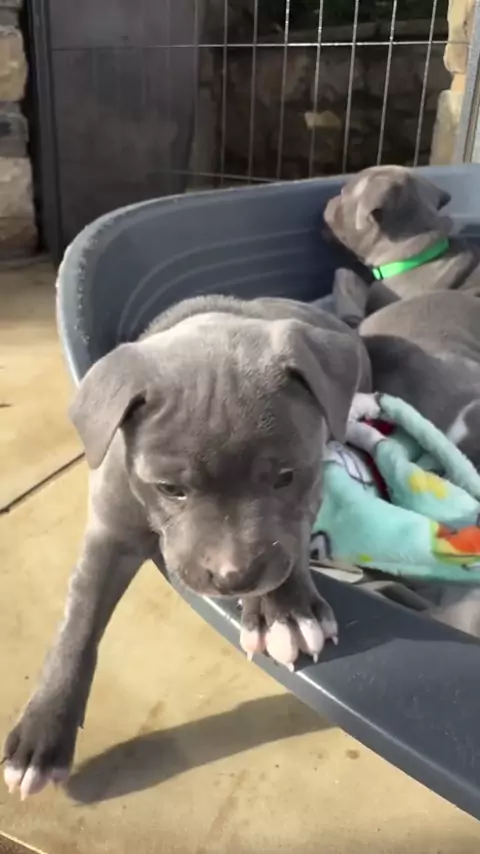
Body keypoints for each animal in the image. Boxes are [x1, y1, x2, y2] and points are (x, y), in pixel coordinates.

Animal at [3, 293, 371, 800]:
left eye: (284, 477)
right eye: (170, 489)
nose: (234, 578)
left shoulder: (310, 488)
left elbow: (291, 540)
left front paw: (287, 613)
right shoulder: (110, 530)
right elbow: (78, 627)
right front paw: (42, 734)